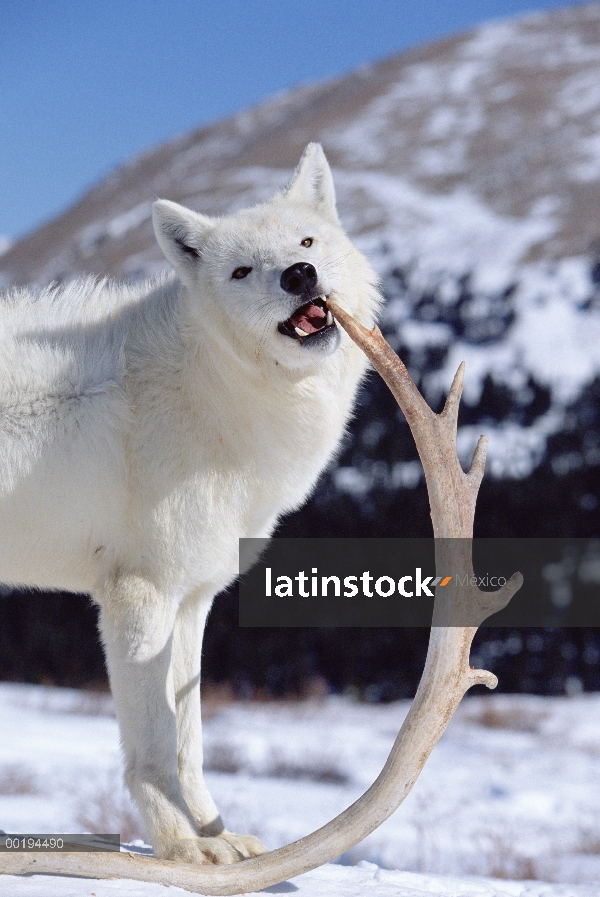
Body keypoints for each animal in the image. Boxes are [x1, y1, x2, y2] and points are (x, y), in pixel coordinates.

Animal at [0, 145, 380, 860]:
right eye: (241, 271)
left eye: (306, 242)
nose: (299, 275)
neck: (212, 394)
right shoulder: (139, 594)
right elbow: (153, 744)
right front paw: (183, 847)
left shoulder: (193, 598)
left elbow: (191, 741)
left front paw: (220, 839)